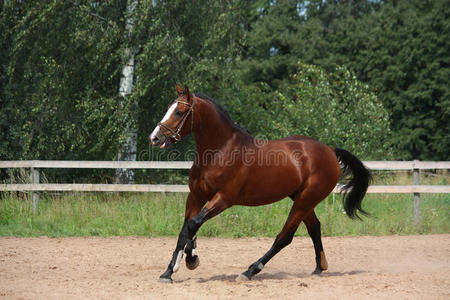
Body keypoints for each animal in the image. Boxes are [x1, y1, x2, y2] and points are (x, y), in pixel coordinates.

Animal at [149, 85, 370, 284]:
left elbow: (192, 225)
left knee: (284, 237)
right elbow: (186, 230)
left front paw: (187, 262)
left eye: (179, 111)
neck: (219, 152)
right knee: (314, 228)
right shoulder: (196, 196)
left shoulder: (223, 199)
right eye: (168, 108)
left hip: (305, 201)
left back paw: (249, 271)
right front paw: (173, 269)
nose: (155, 138)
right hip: (302, 199)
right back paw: (318, 268)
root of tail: (330, 150)